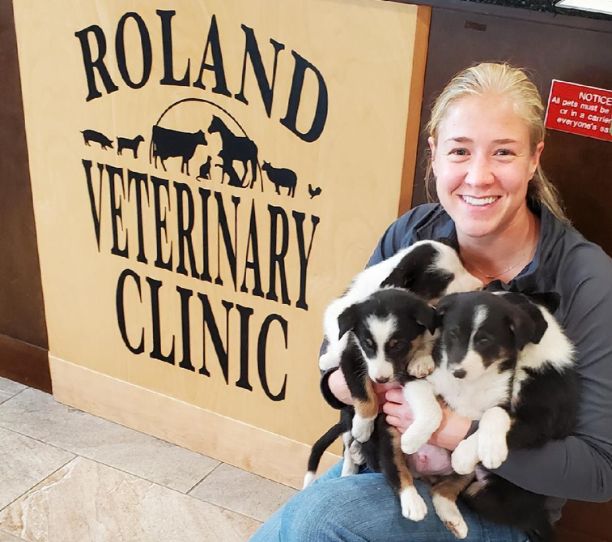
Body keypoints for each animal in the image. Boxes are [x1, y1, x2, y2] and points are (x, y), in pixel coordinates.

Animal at [426, 292, 580, 540]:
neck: (530, 357)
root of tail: (536, 516)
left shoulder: (536, 423)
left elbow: (493, 417)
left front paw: (468, 454)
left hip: (483, 494)